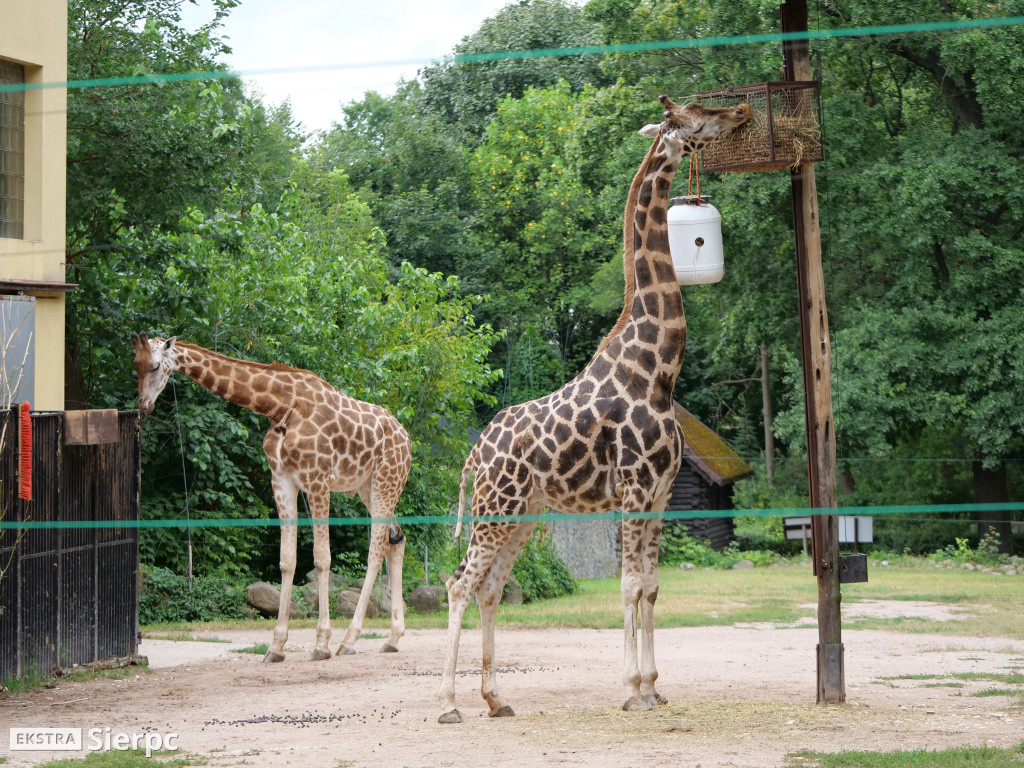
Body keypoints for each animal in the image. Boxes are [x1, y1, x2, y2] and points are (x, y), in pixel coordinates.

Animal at [130, 333, 409, 663]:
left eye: (155, 365)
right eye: (135, 365)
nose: (142, 406)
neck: (281, 405)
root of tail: (408, 440)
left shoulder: (317, 480)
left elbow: (322, 558)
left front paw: (321, 644)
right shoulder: (282, 481)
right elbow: (287, 561)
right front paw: (275, 646)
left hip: (385, 482)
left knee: (376, 550)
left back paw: (349, 639)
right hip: (369, 487)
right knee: (397, 540)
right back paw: (392, 638)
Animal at [436, 97, 749, 729]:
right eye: (696, 114)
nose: (742, 111)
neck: (657, 368)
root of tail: (474, 454)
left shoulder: (660, 495)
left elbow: (651, 586)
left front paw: (654, 688)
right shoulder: (634, 489)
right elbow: (627, 586)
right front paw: (631, 688)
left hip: (522, 513)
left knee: (490, 587)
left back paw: (496, 699)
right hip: (495, 508)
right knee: (458, 583)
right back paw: (451, 705)